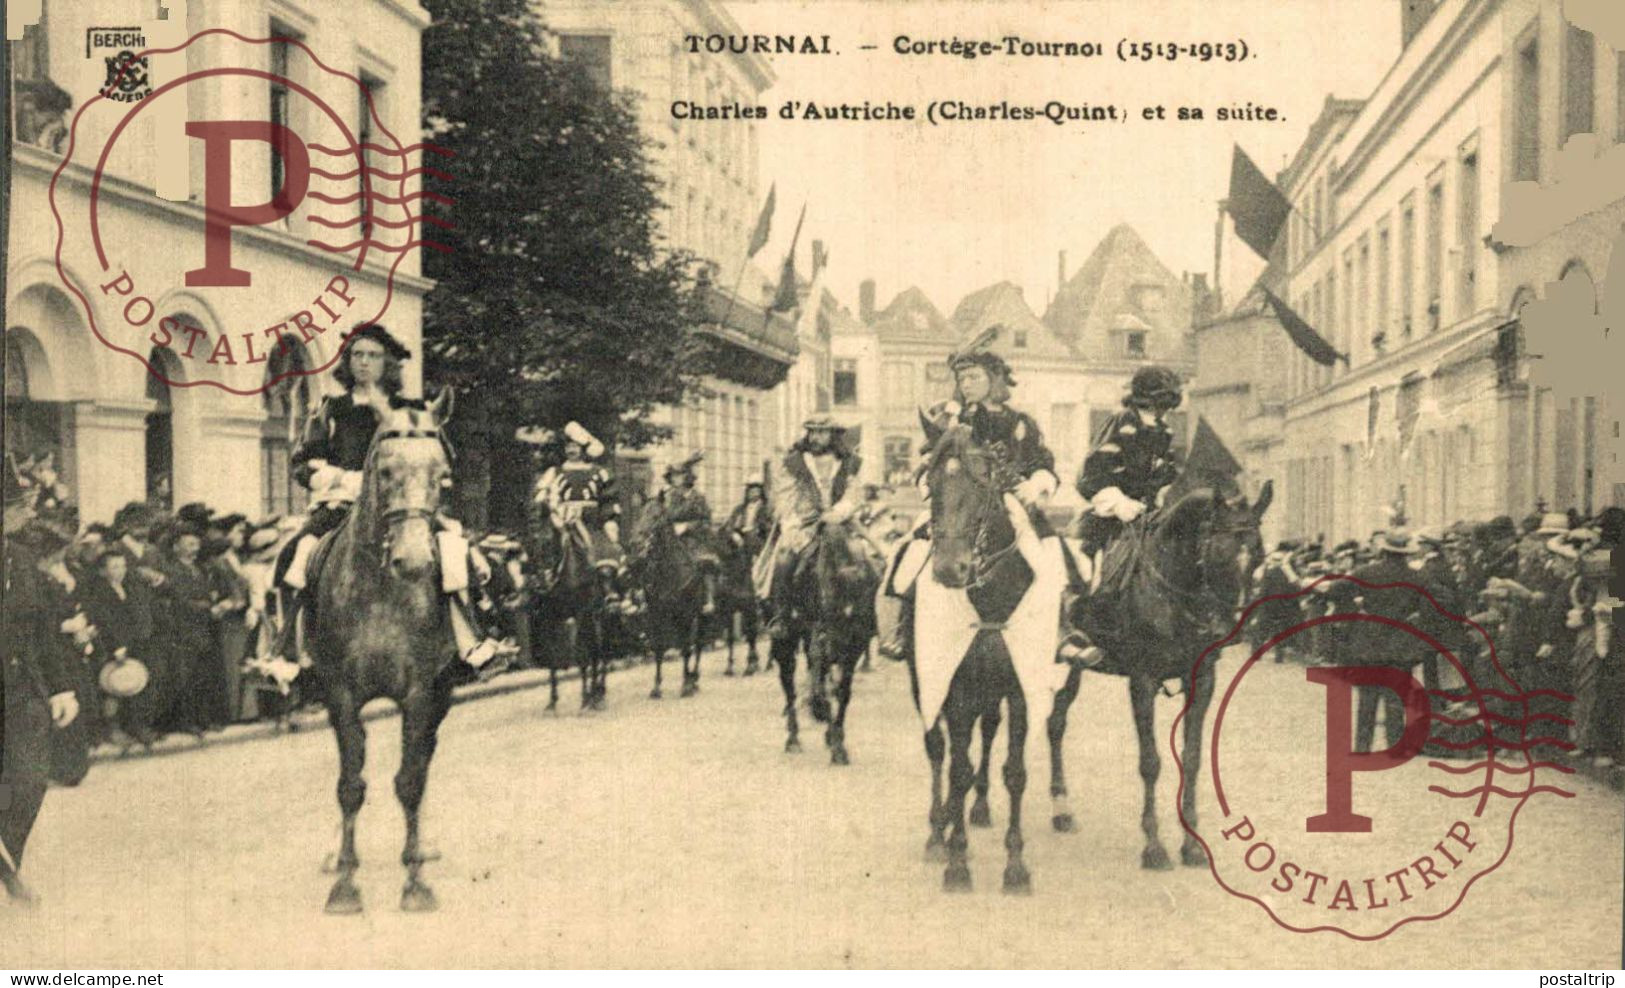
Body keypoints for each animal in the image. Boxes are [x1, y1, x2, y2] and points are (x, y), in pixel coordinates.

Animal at [303, 390, 464, 916]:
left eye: (442, 474)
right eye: (387, 470)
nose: (414, 561)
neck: (379, 590)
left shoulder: (420, 692)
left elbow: (410, 780)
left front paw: (414, 882)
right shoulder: (340, 695)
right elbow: (350, 785)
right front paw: (345, 883)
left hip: (442, 695)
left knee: (425, 760)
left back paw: (423, 846)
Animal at [624, 497, 708, 698]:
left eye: (656, 516)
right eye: (640, 514)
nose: (636, 543)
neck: (670, 573)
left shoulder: (685, 615)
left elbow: (686, 648)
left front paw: (686, 685)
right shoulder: (656, 616)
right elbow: (659, 648)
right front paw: (656, 687)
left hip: (699, 615)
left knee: (698, 644)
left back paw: (694, 678)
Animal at [770, 520, 877, 760]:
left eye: (865, 593)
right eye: (824, 589)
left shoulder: (853, 646)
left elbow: (843, 692)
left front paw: (837, 742)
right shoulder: (820, 642)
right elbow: (820, 687)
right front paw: (822, 718)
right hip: (786, 644)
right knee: (789, 685)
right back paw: (793, 738)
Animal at [1053, 481, 1267, 871]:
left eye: (1258, 555)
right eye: (1219, 554)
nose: (1230, 628)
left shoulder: (1203, 681)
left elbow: (1193, 758)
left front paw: (1192, 845)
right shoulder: (1142, 681)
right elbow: (1150, 762)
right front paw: (1153, 846)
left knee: (1055, 720)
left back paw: (1060, 810)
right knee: (1053, 721)